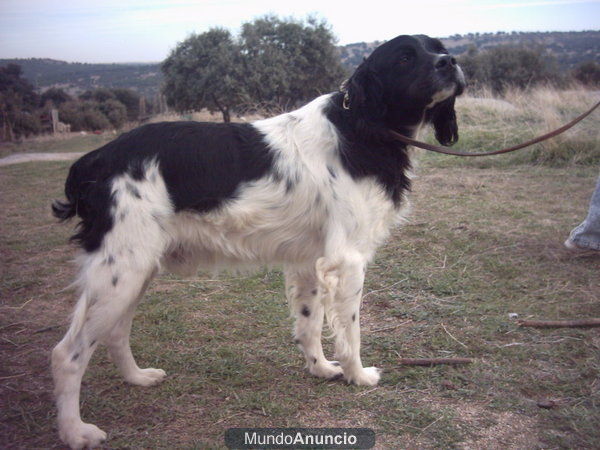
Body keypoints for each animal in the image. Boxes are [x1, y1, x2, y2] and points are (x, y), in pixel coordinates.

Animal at [51, 34, 464, 446]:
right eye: (405, 58)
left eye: (436, 46)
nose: (450, 62)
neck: (358, 127)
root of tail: (96, 158)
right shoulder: (347, 261)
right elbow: (351, 330)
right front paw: (358, 376)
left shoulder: (308, 262)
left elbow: (309, 323)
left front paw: (320, 368)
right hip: (121, 272)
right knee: (67, 354)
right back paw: (75, 431)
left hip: (135, 270)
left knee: (116, 333)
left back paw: (137, 378)